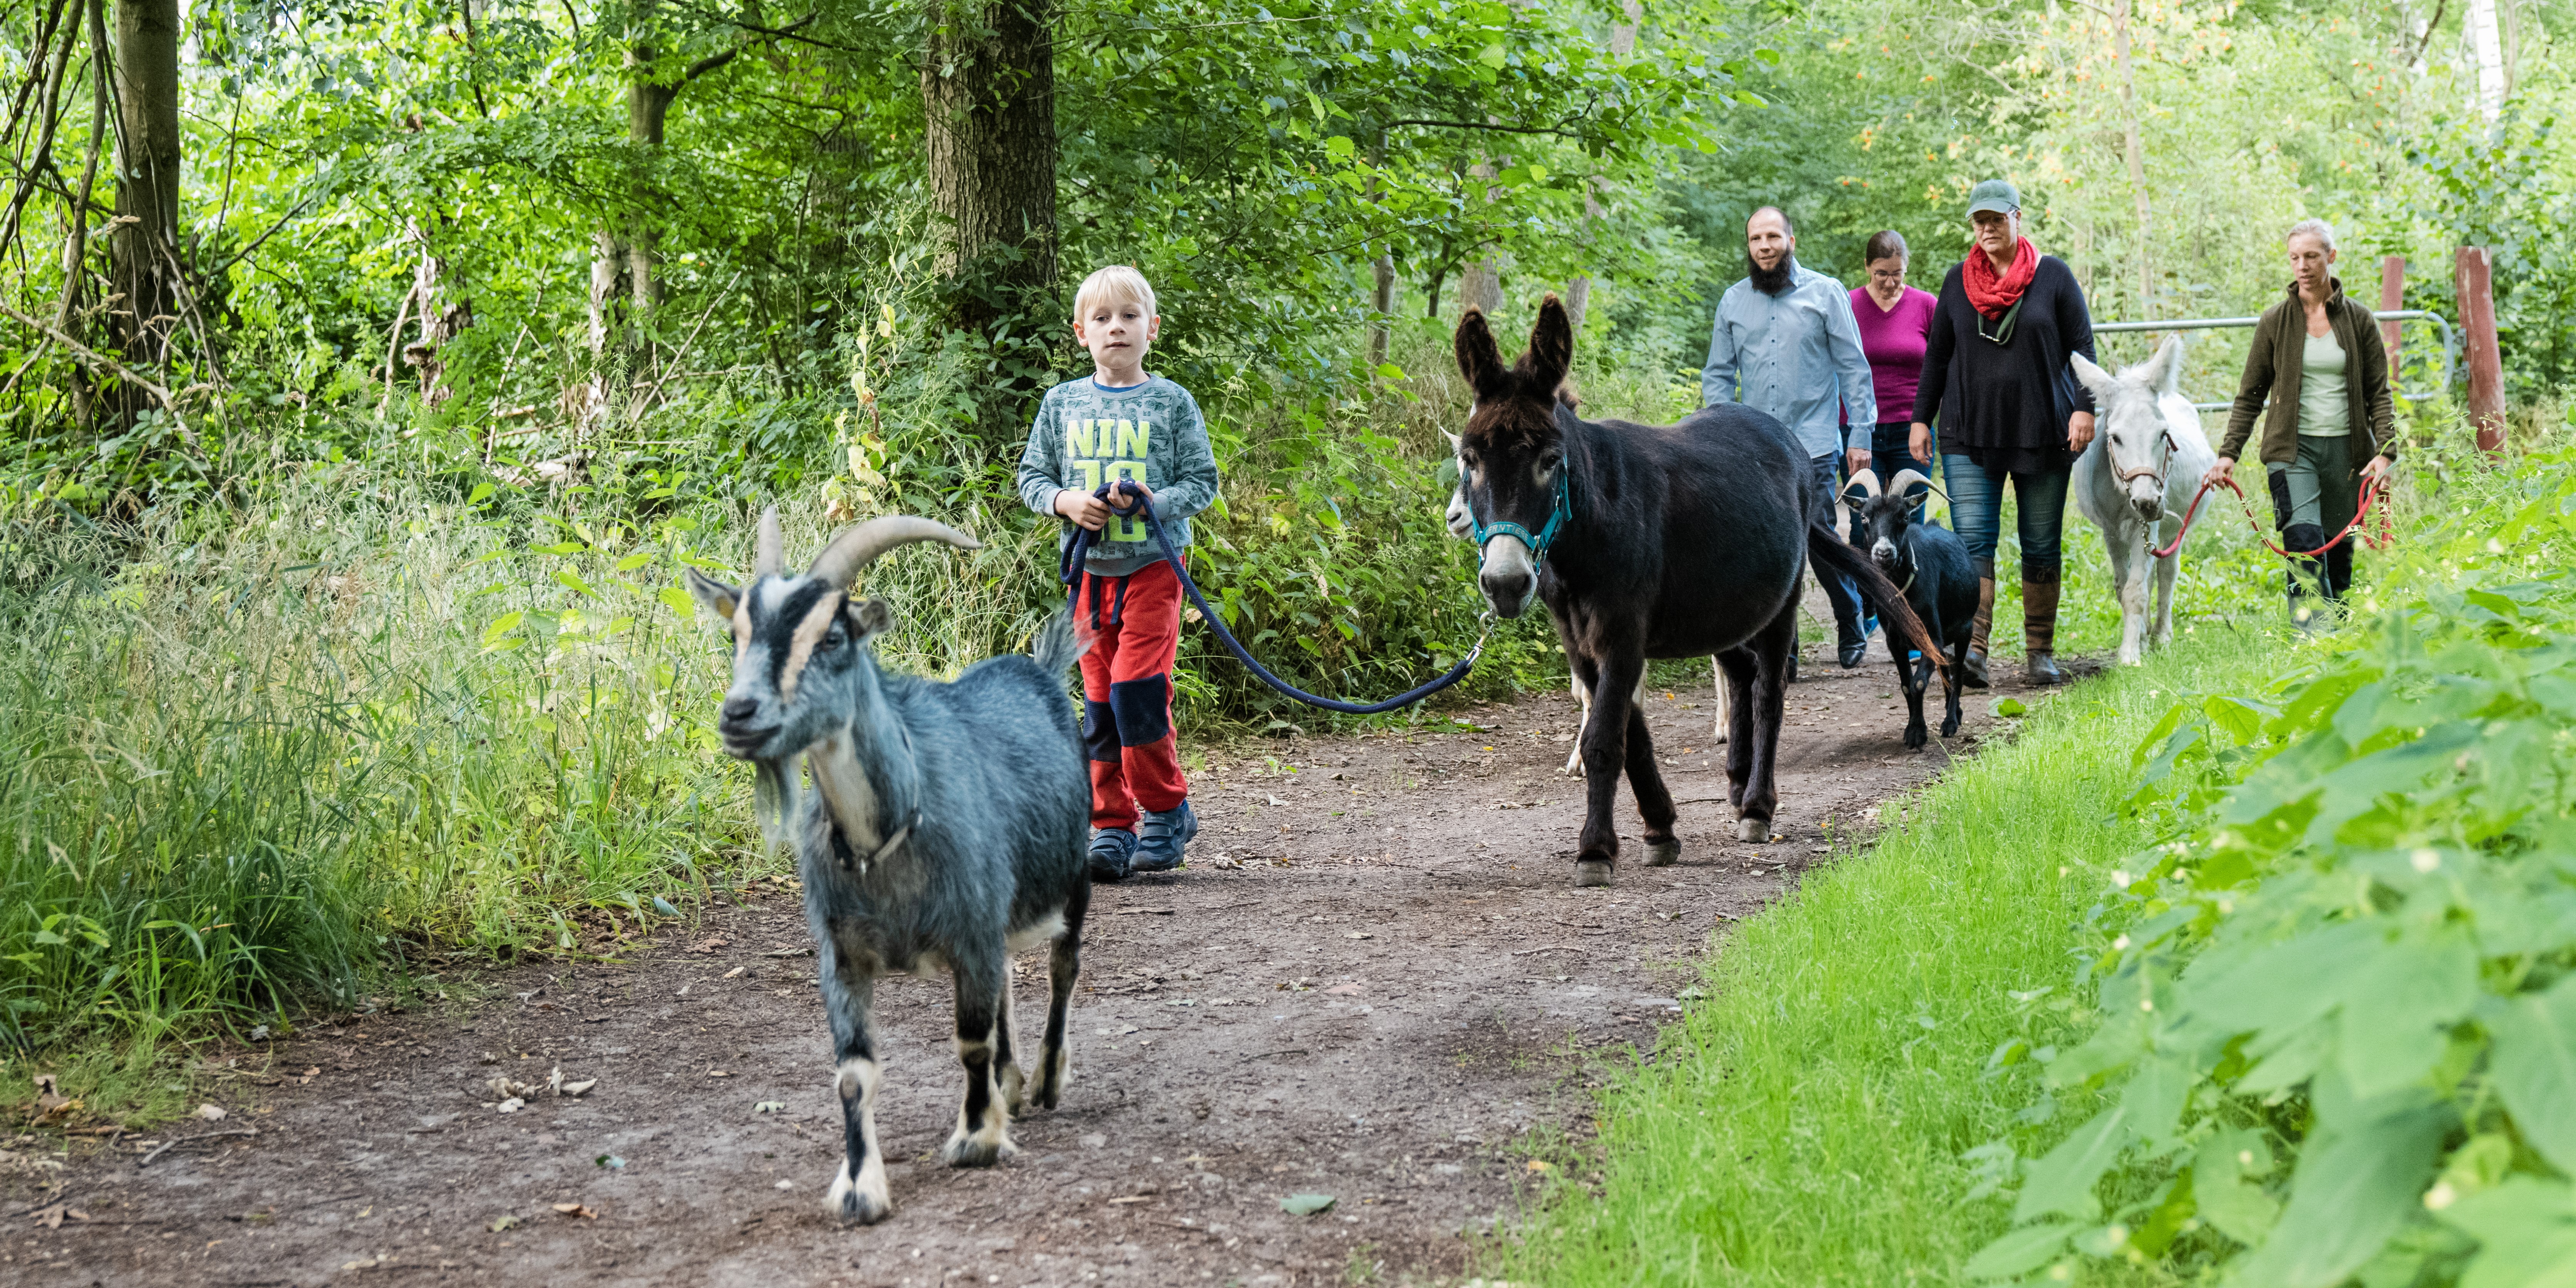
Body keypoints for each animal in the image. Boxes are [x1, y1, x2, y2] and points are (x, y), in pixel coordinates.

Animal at [685, 507, 1087, 1221]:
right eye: (737, 634)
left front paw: (976, 1137)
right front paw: (858, 1187)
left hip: (1078, 869)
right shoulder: (843, 952)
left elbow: (970, 1041)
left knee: (1063, 965)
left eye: (831, 637)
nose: (739, 714)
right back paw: (1012, 1084)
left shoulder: (969, 931)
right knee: (1010, 978)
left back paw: (1043, 1079)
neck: (887, 841)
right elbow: (853, 1074)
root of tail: (1036, 670)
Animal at [1834, 471, 1968, 752]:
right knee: (1947, 670)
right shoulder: (1895, 642)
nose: (1884, 553)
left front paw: (1919, 733)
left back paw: (1951, 721)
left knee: (1958, 673)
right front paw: (1913, 730)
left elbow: (1918, 683)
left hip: (1966, 628)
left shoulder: (1932, 638)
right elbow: (1907, 686)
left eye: (1904, 517)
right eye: (1865, 517)